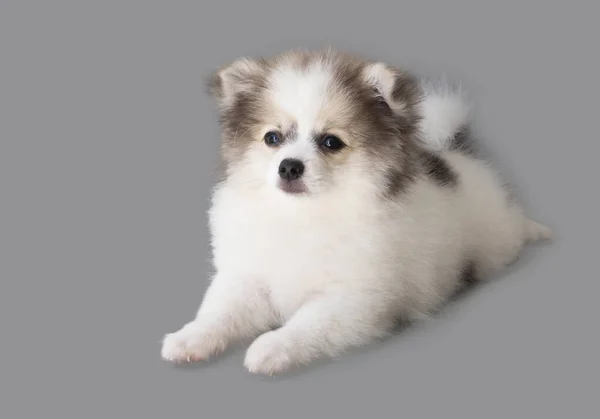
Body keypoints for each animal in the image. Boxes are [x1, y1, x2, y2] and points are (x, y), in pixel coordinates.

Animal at [161, 48, 552, 374]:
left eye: (330, 142)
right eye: (273, 138)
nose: (289, 166)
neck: (302, 216)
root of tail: (454, 156)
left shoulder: (355, 298)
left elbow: (308, 323)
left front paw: (272, 346)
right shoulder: (247, 277)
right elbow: (220, 312)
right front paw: (190, 338)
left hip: (495, 240)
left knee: (512, 231)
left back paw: (537, 229)